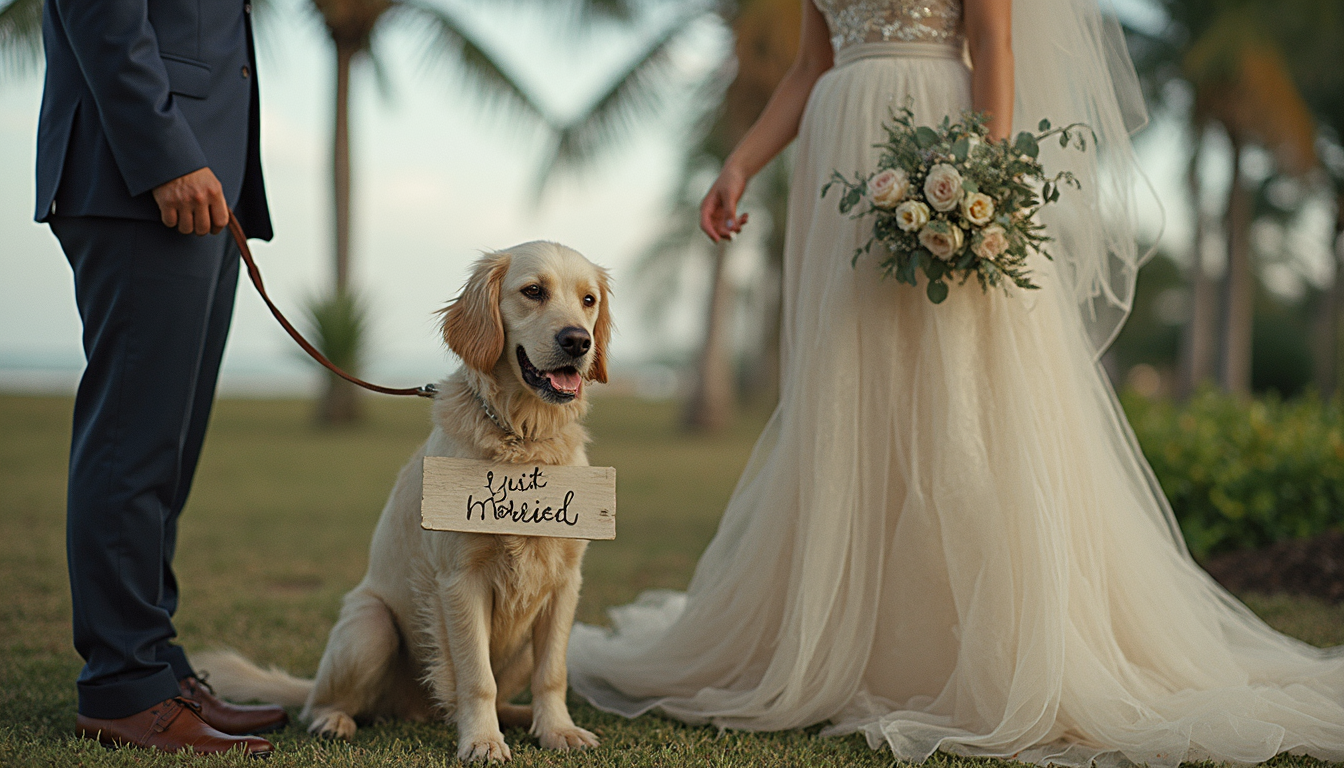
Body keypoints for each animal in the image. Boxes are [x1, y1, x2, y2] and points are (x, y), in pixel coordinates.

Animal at [196, 243, 615, 758]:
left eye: (588, 300)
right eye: (533, 291)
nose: (578, 341)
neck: (523, 437)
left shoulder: (564, 582)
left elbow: (552, 673)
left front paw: (557, 729)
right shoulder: (460, 579)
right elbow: (477, 678)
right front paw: (483, 741)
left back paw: (518, 718)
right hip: (370, 627)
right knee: (321, 703)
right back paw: (334, 720)